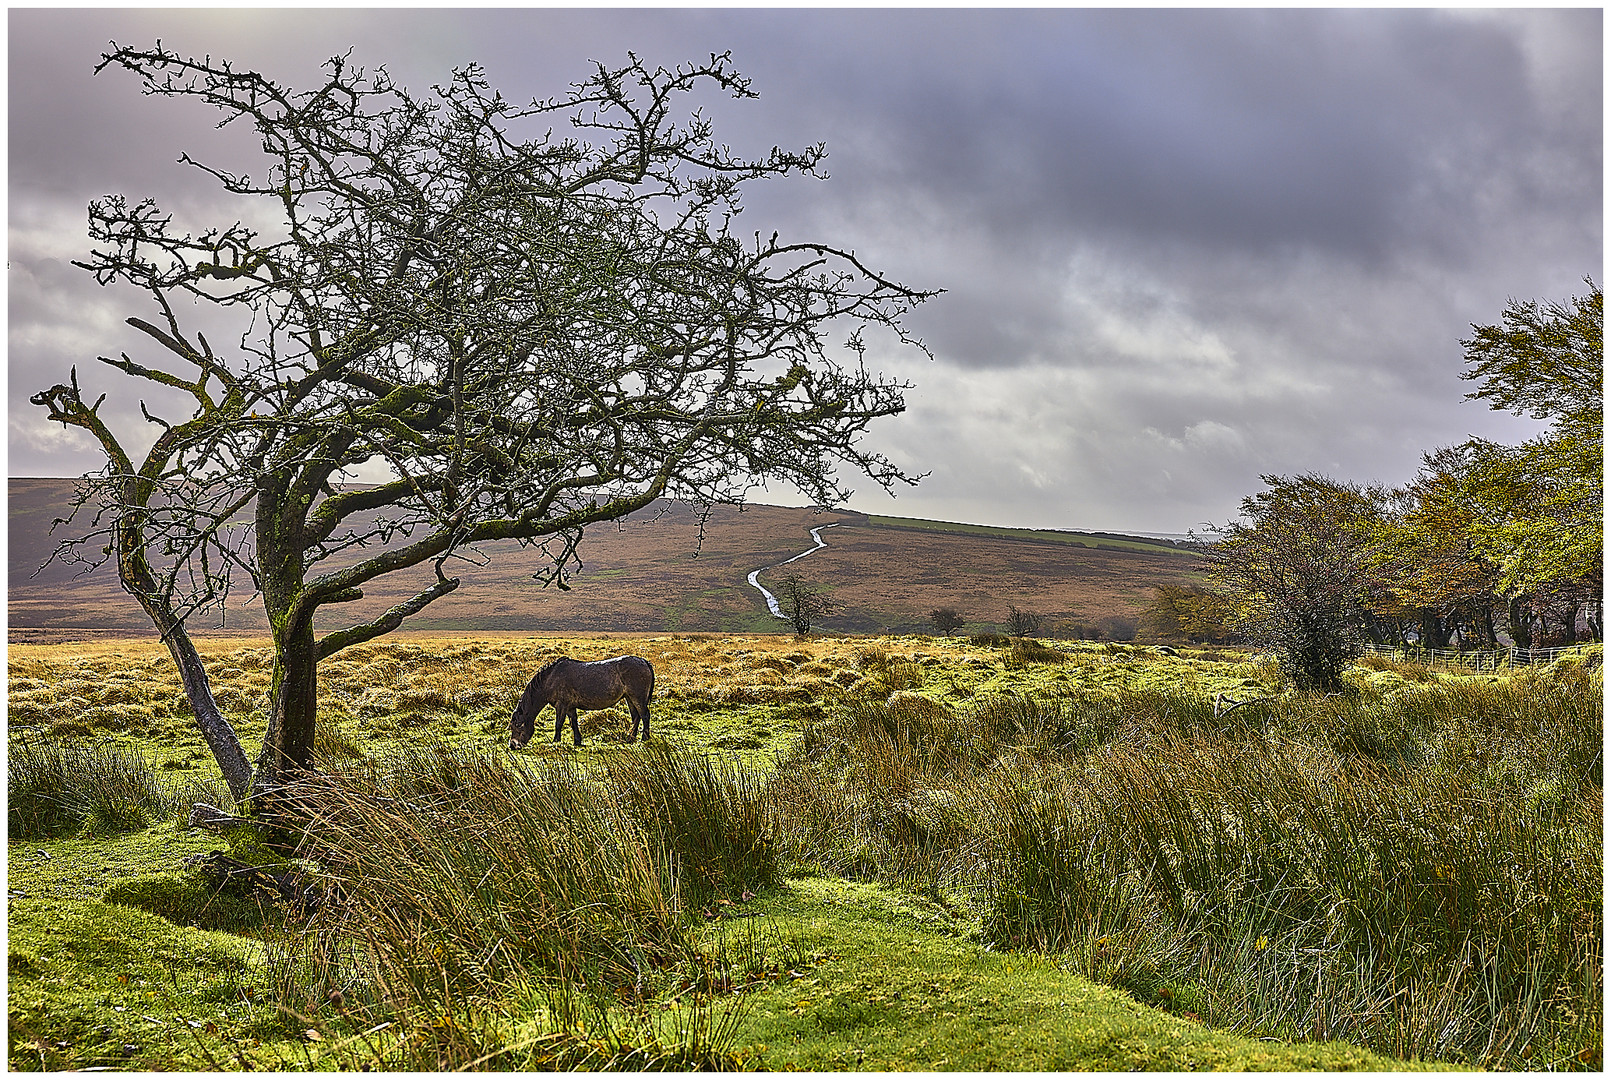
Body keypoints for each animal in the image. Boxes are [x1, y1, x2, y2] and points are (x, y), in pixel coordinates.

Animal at [505, 654, 650, 747]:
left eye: (517, 726)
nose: (512, 745)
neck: (550, 679)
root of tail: (644, 661)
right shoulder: (570, 707)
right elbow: (573, 723)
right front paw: (577, 741)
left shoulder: (561, 706)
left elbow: (558, 723)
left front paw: (556, 741)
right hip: (629, 698)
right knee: (636, 717)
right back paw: (630, 738)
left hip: (637, 698)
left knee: (644, 715)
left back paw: (645, 738)